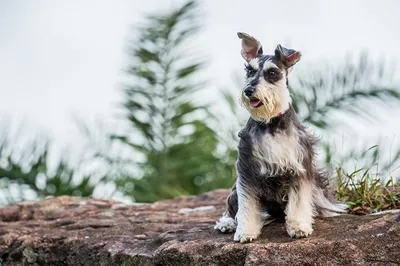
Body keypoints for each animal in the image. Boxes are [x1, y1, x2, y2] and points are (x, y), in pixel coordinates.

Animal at [214, 32, 348, 242]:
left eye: (272, 73)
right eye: (249, 70)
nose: (248, 91)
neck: (270, 123)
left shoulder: (300, 167)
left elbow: (299, 202)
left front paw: (299, 227)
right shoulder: (246, 170)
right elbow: (246, 204)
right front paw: (245, 232)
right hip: (235, 190)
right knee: (232, 207)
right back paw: (227, 223)